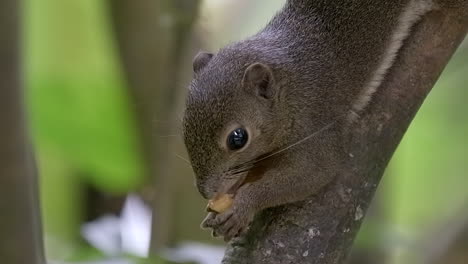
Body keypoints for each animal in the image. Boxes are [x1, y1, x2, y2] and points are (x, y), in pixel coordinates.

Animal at [182, 0, 436, 241]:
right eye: (184, 129)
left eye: (238, 138)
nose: (206, 192)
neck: (289, 86)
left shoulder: (314, 122)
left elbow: (316, 170)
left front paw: (243, 206)